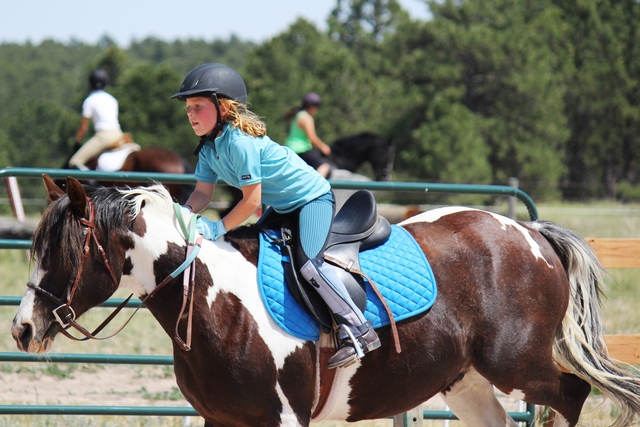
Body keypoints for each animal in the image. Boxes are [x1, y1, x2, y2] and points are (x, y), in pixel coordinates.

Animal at [8, 176, 640, 426]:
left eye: (63, 251)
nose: (21, 330)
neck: (214, 303)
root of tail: (531, 233)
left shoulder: (285, 417)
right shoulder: (221, 419)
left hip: (516, 364)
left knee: (571, 393)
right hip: (466, 383)